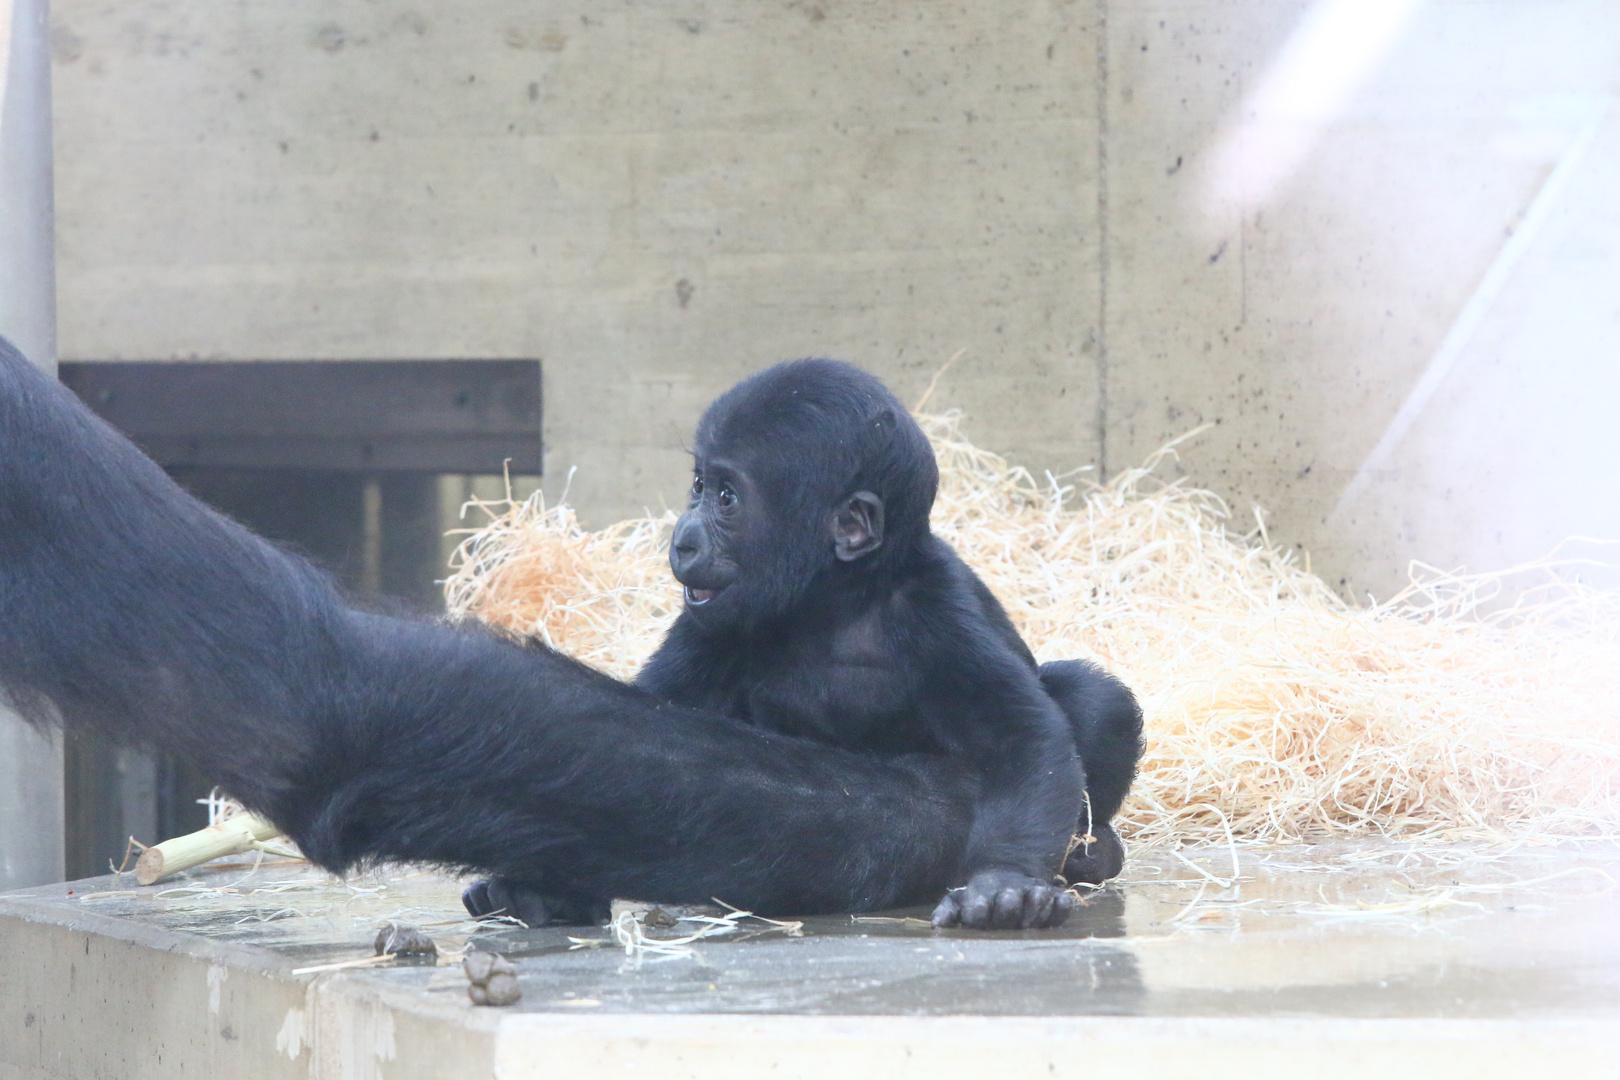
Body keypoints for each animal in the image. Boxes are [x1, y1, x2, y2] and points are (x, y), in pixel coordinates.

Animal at [469, 361, 1140, 932]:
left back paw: (1091, 854)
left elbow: (1018, 735)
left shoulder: (938, 608)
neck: (834, 599)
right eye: (697, 485)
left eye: (726, 497)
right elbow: (624, 742)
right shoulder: (709, 628)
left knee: (1092, 697)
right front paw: (541, 886)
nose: (683, 539)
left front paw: (1004, 885)